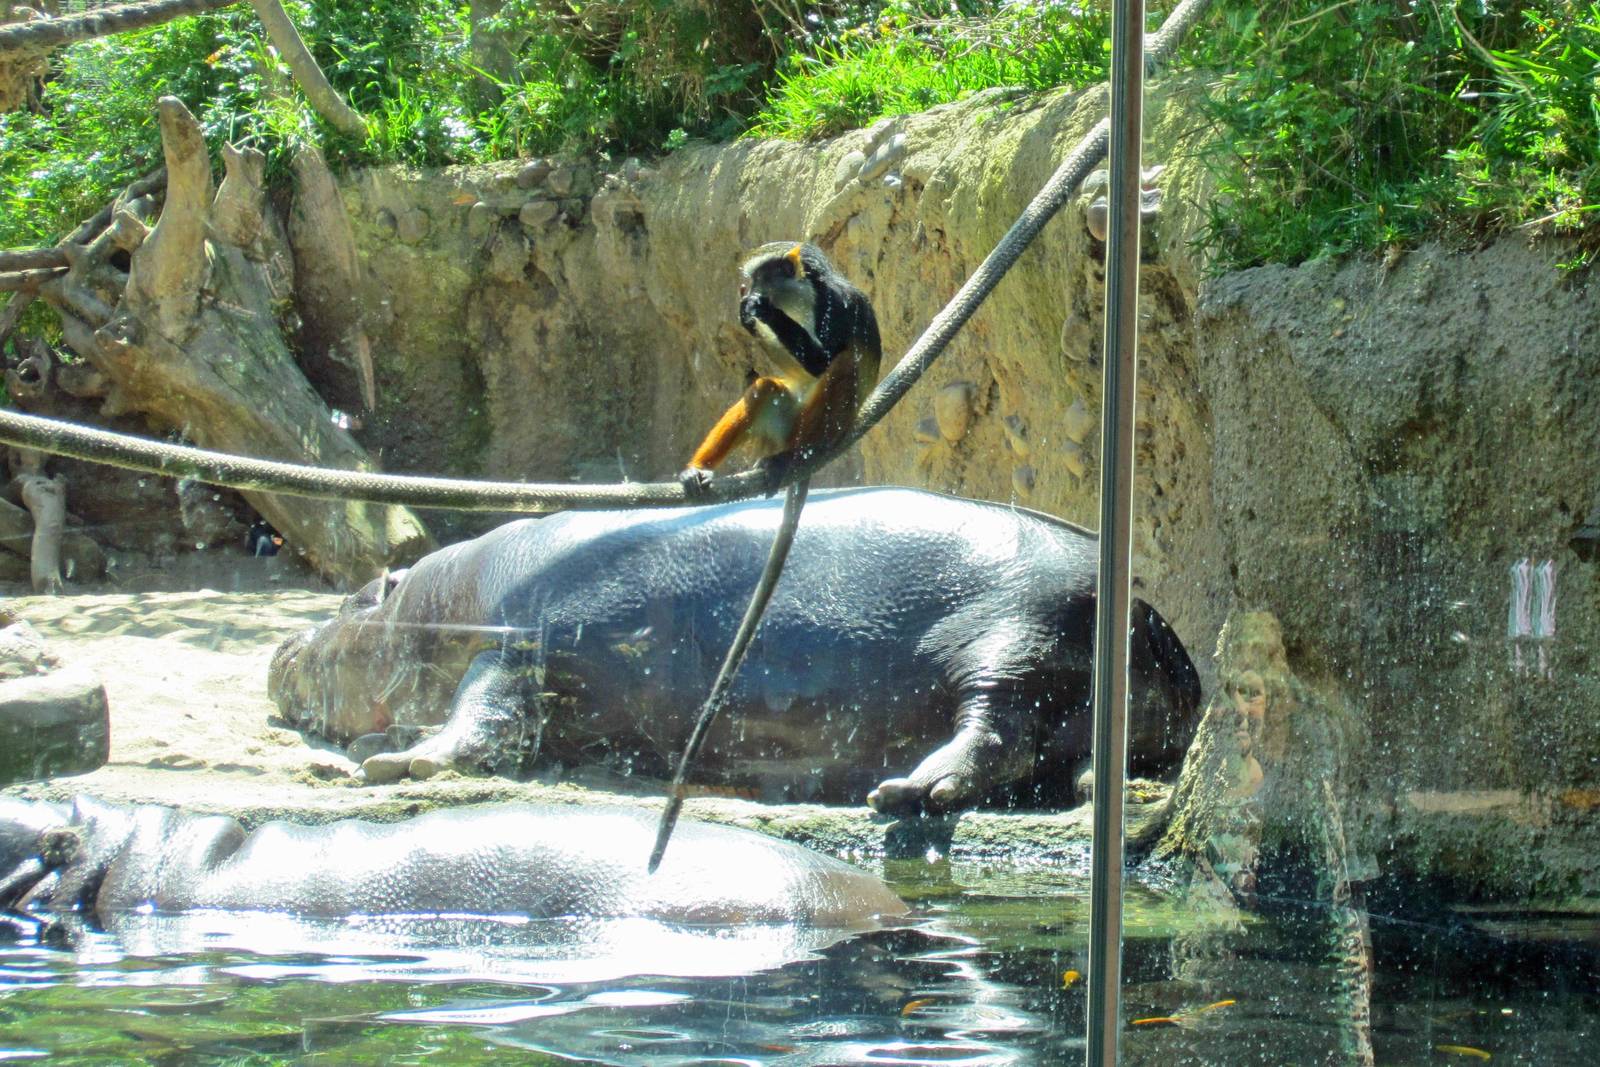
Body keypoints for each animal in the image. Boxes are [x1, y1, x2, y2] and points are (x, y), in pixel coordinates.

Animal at [269, 487, 1202, 814]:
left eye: (356, 595)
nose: (280, 644)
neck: (446, 600)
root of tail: (1157, 621)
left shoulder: (523, 644)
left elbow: (482, 713)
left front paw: (397, 763)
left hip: (1014, 638)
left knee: (996, 734)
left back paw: (909, 790)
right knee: (1052, 752)